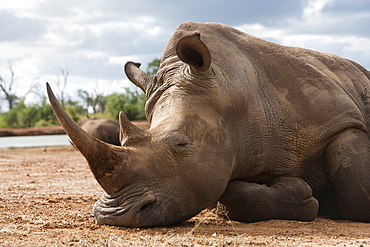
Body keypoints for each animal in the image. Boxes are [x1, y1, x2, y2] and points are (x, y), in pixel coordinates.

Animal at [46, 21, 370, 228]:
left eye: (180, 143)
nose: (116, 216)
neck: (231, 93)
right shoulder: (218, 159)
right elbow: (228, 192)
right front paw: (303, 194)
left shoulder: (340, 122)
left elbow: (359, 191)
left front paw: (325, 201)